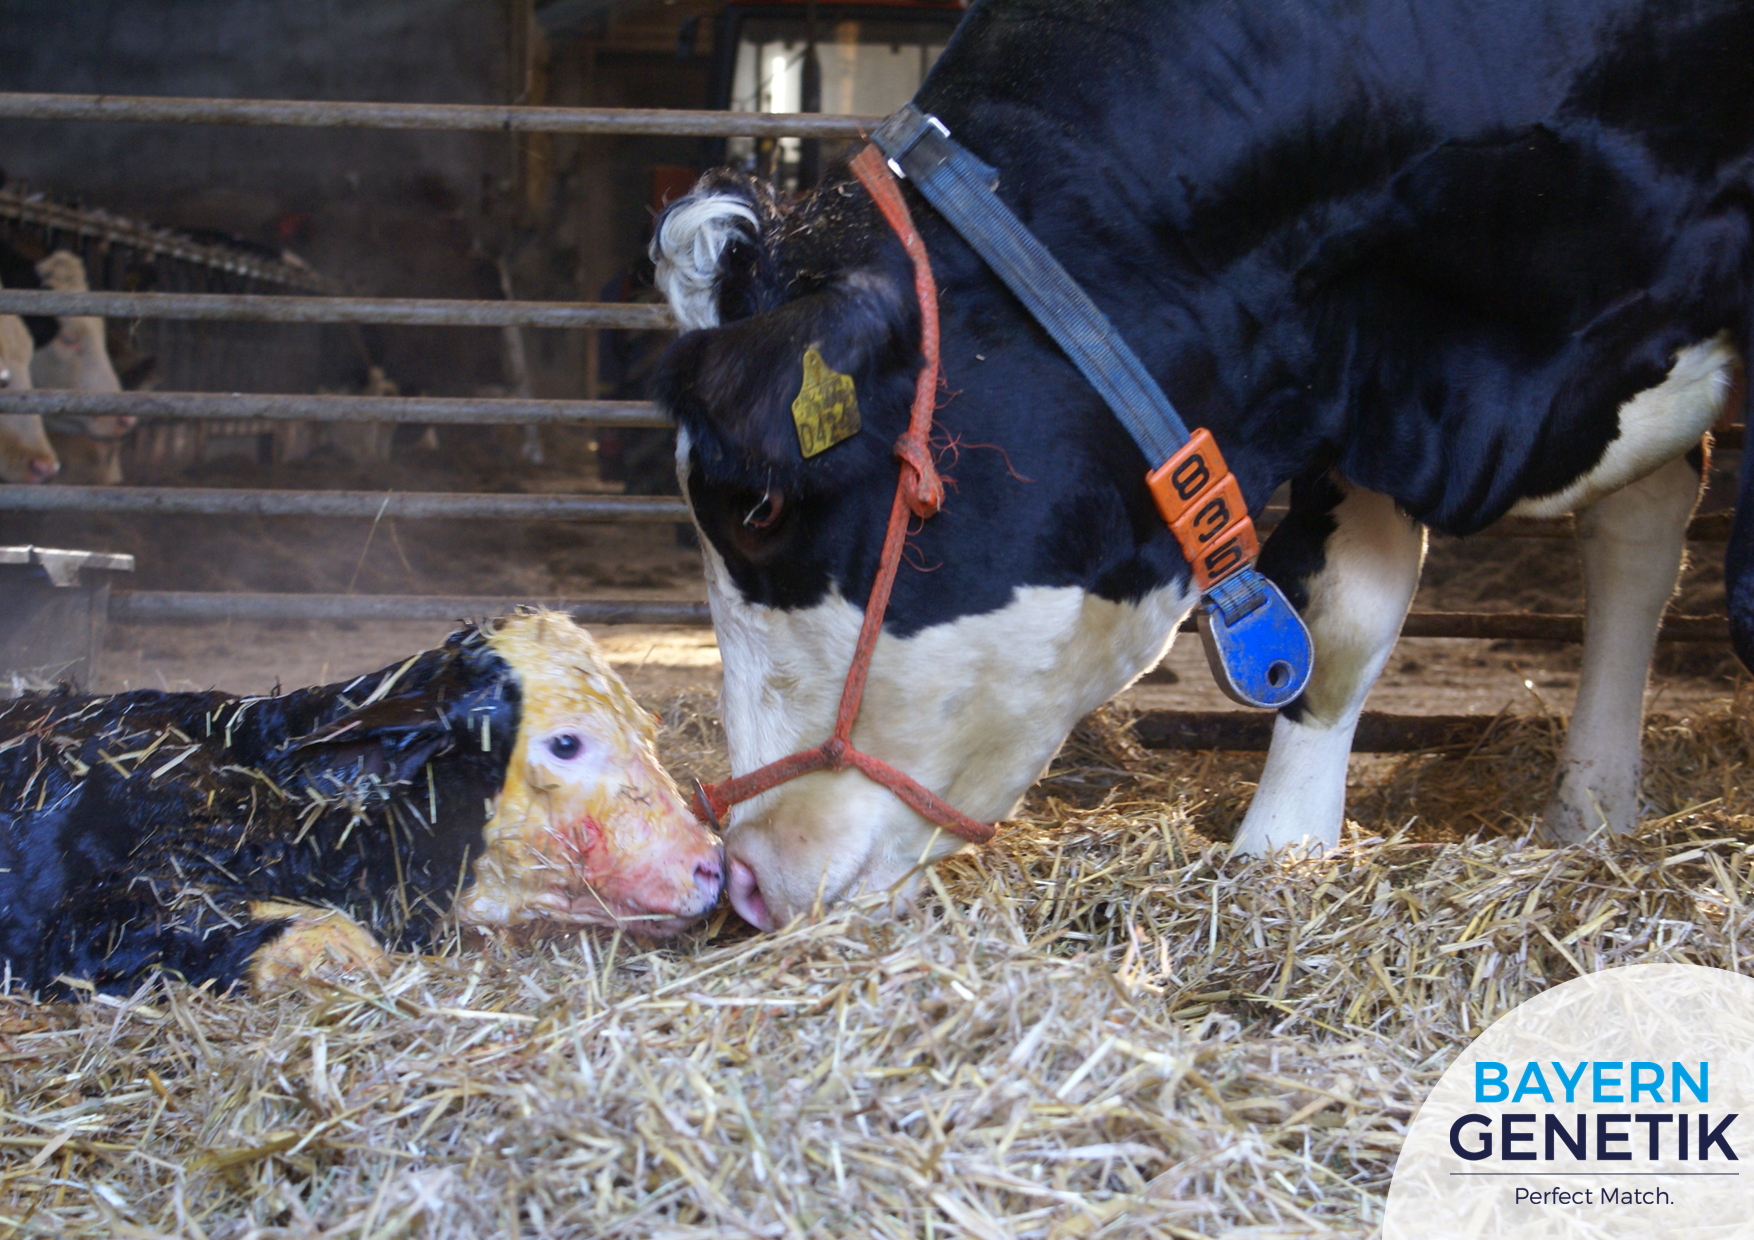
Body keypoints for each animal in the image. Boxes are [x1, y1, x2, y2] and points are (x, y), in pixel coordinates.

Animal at [649, 0, 1754, 930]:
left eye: (757, 509)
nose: (744, 874)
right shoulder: (1338, 347)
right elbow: (1340, 616)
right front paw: (1282, 856)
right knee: (1638, 529)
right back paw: (1590, 807)